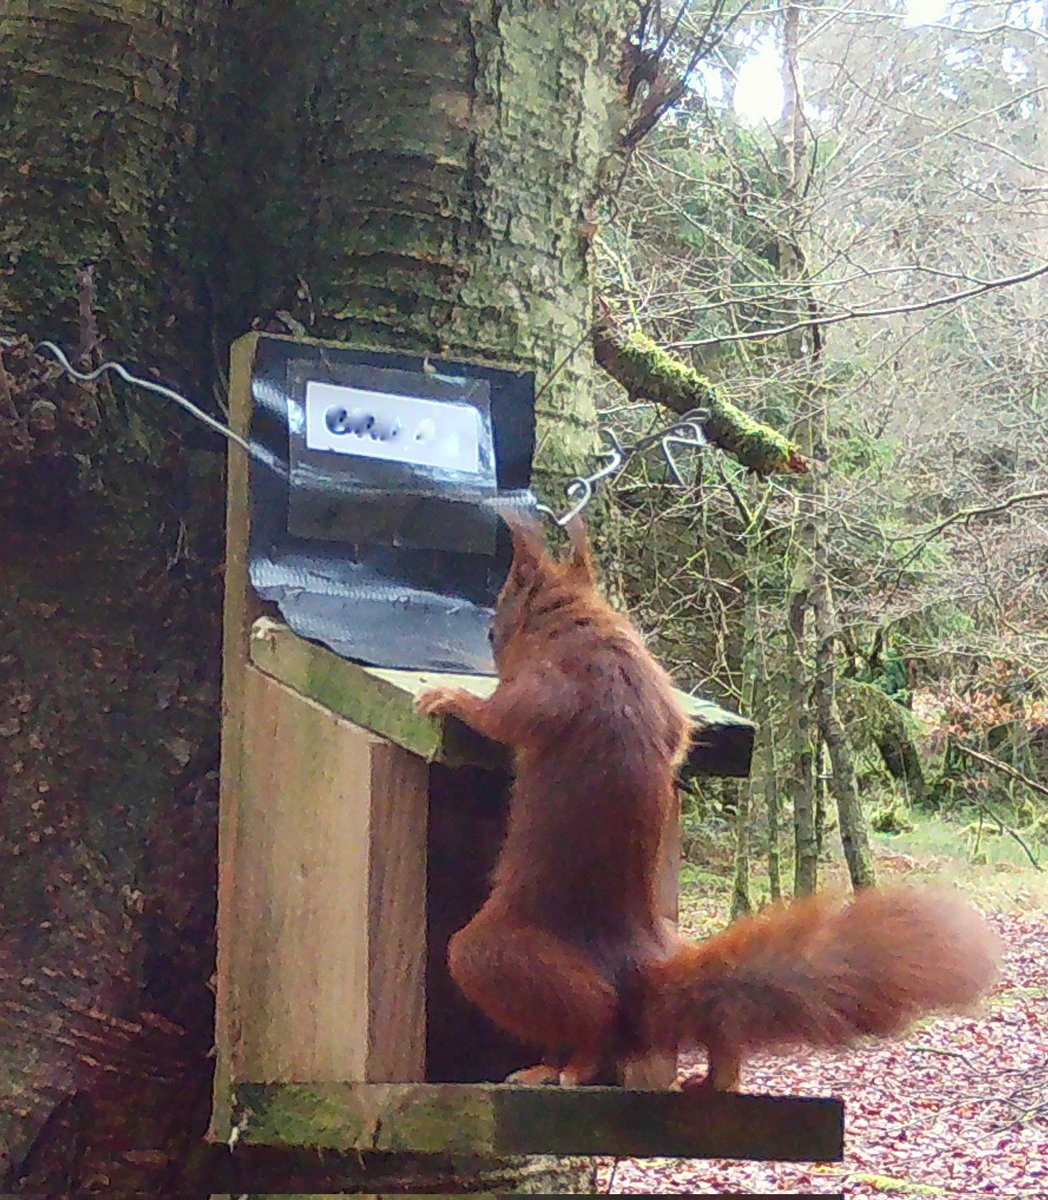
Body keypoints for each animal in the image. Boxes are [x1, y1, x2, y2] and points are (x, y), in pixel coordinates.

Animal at [415, 516, 998, 1089]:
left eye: (499, 618)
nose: (490, 639)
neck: (583, 622)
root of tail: (640, 976)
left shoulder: (551, 681)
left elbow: (503, 717)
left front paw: (449, 698)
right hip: (674, 943)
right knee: (709, 1021)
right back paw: (717, 1073)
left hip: (498, 958)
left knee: (595, 1021)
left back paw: (561, 1069)